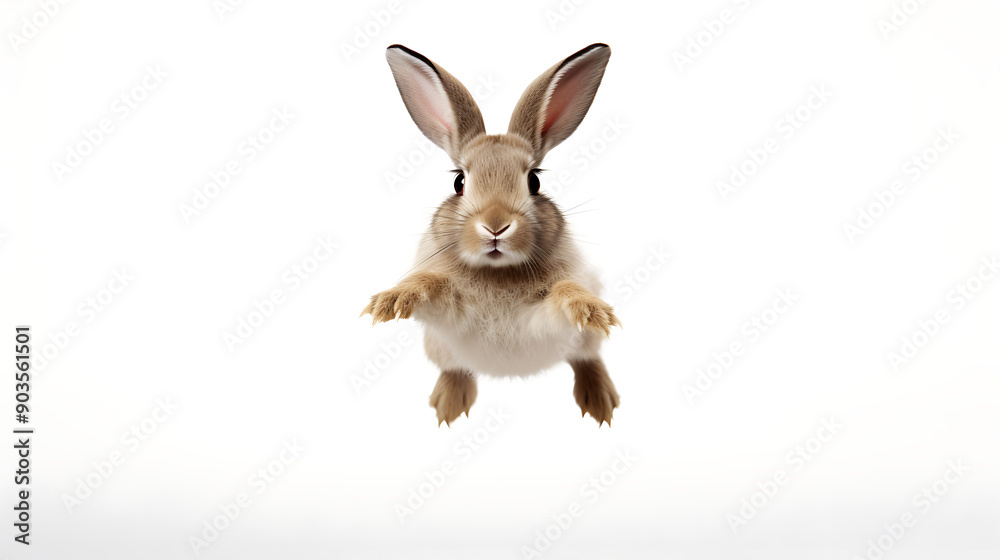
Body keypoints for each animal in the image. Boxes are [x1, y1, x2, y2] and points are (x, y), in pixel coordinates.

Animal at [363, 43, 620, 427]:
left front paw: (590, 309)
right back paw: (450, 403)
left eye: (534, 181)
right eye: (459, 181)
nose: (496, 225)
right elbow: (428, 282)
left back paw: (600, 398)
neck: (497, 272)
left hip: (585, 344)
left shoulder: (543, 316)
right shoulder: (448, 309)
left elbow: (564, 291)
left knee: (587, 359)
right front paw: (391, 301)